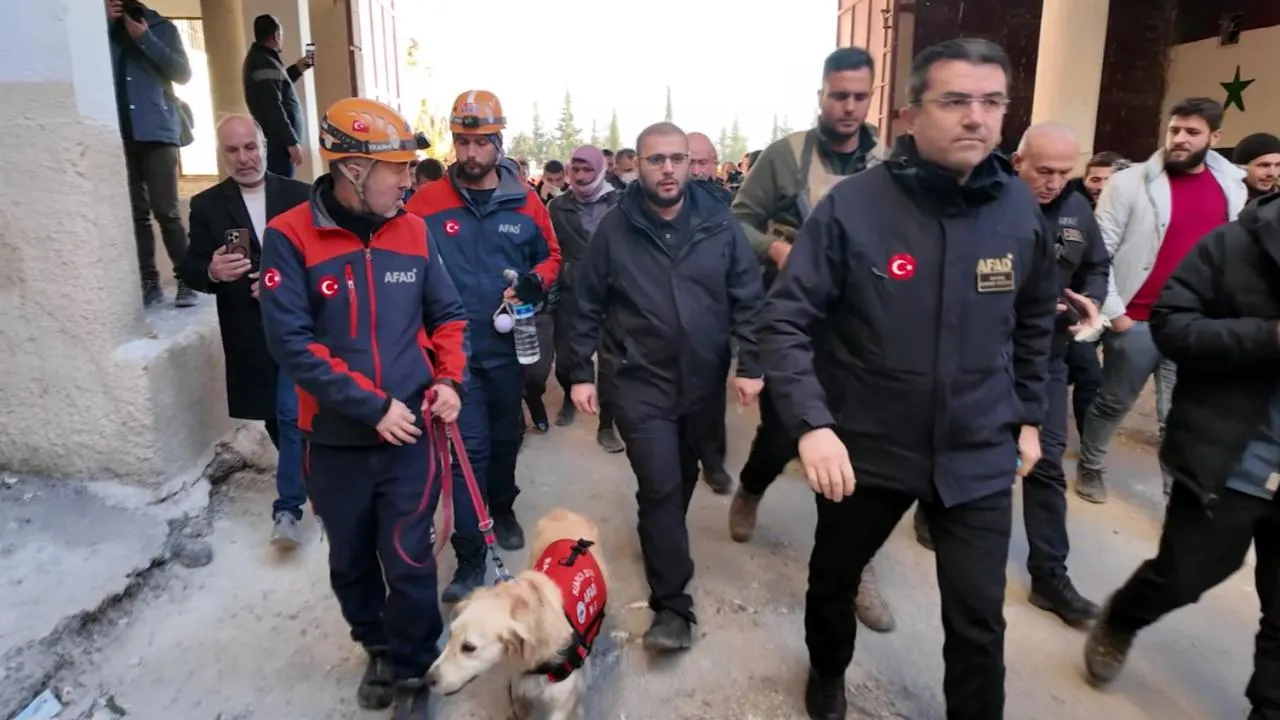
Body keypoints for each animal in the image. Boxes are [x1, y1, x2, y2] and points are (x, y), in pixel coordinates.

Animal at [427, 504, 606, 717]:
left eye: (469, 647)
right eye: (450, 635)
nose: (428, 679)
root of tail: (564, 511)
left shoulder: (560, 704)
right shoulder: (518, 693)